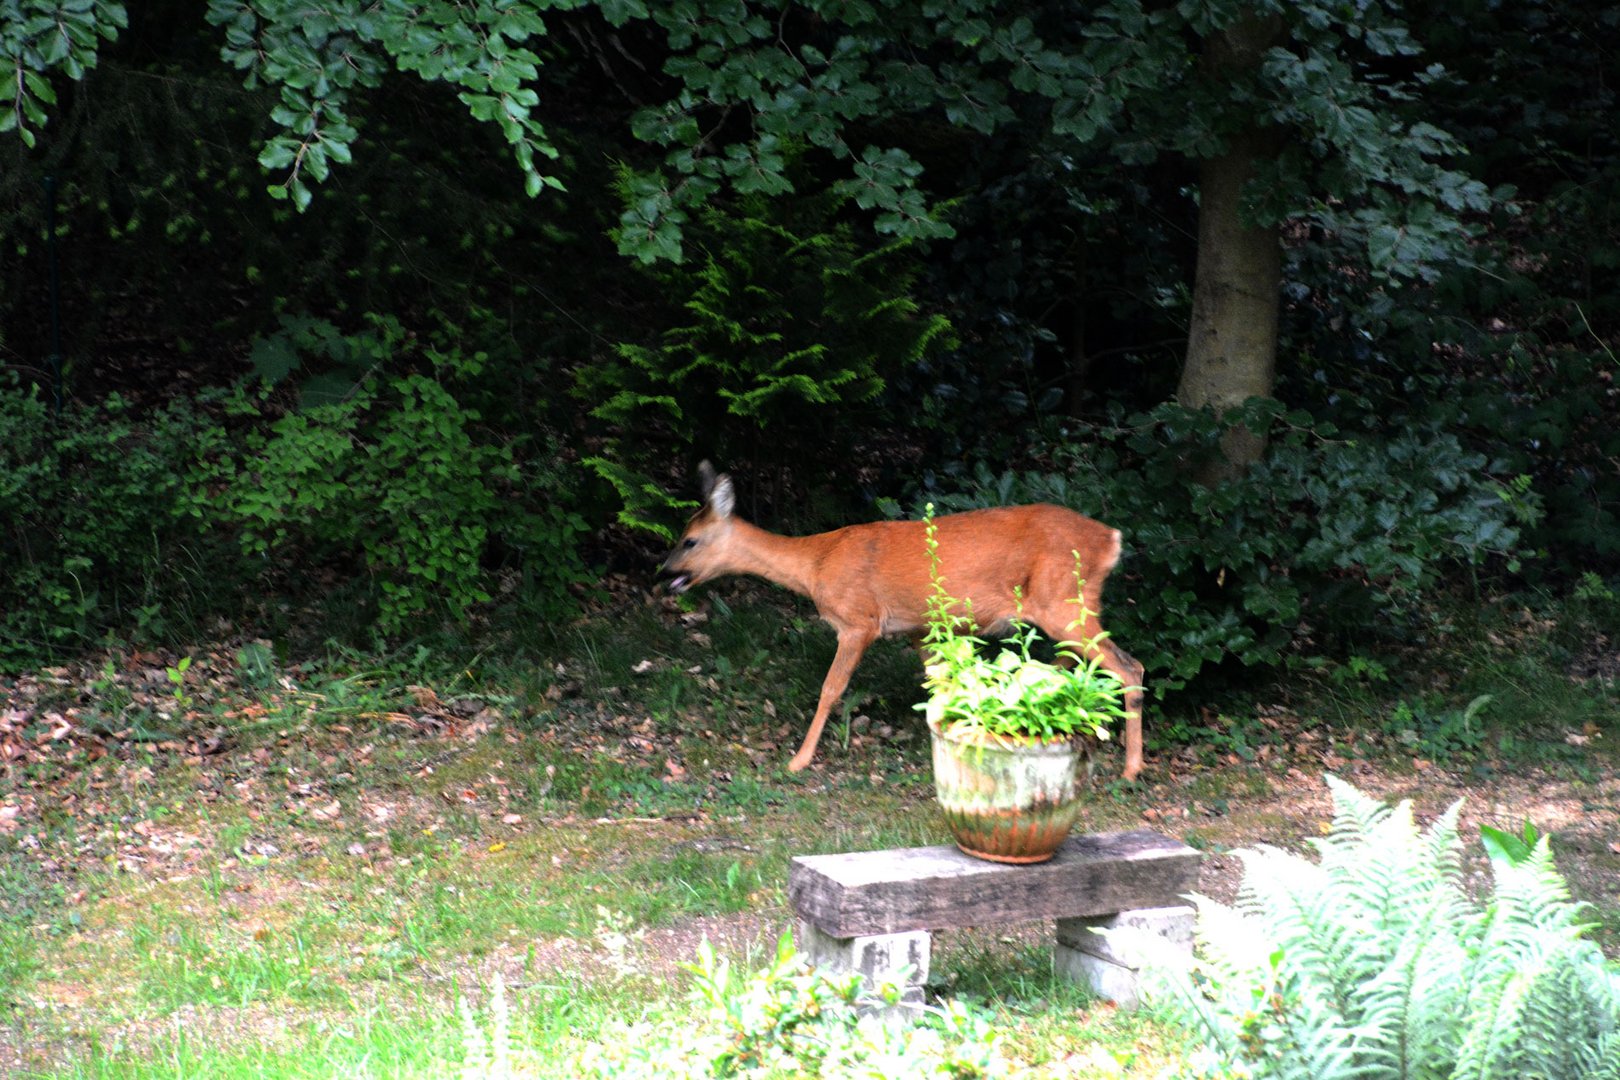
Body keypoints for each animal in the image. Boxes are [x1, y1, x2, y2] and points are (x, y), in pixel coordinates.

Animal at [651, 463, 1146, 777]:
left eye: (690, 540)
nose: (663, 573)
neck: (815, 566)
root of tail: (1111, 539)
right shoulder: (918, 631)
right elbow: (942, 688)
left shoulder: (859, 620)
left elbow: (831, 689)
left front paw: (798, 760)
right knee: (1074, 667)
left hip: (1065, 601)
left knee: (1128, 666)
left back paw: (1130, 769)